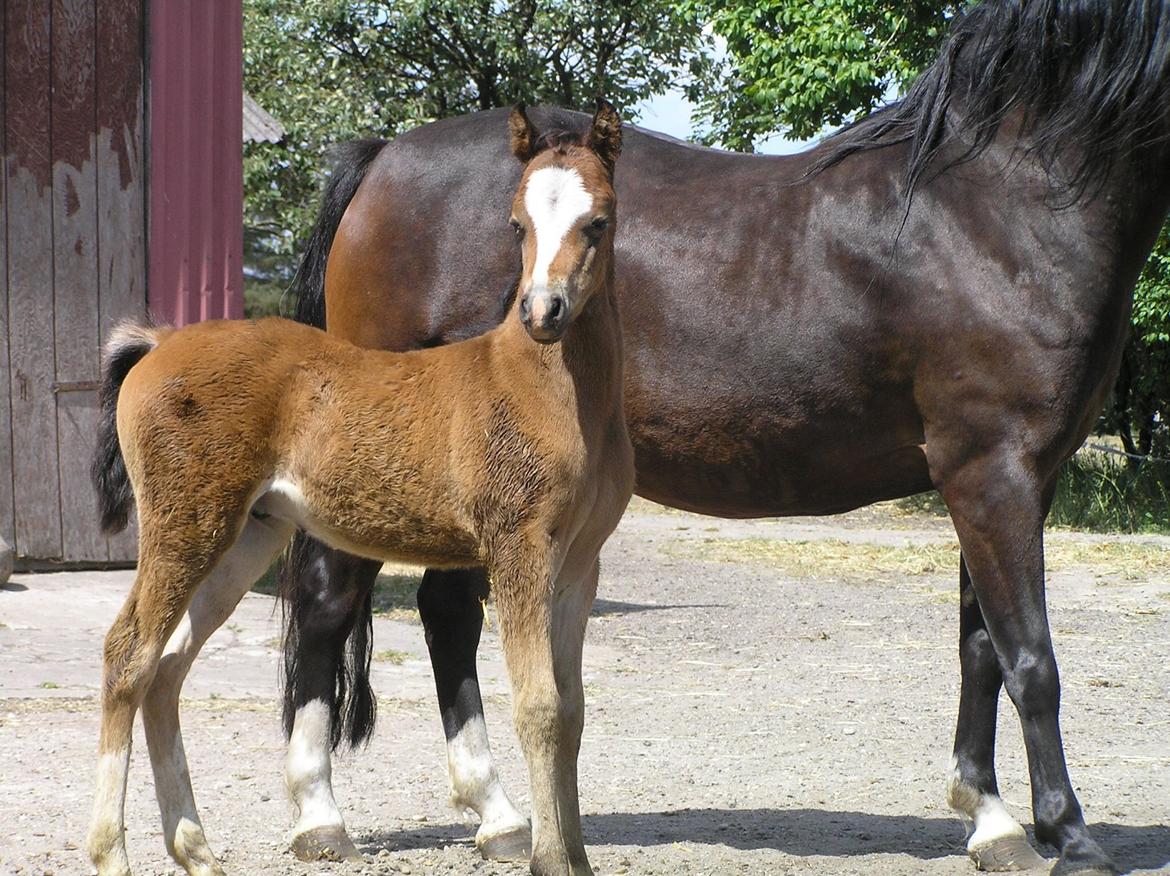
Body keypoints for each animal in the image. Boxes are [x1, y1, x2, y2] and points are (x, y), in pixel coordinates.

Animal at [85, 101, 631, 876]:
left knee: (167, 668)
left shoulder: (581, 563)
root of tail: (158, 344)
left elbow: (574, 708)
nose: (542, 312)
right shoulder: (518, 549)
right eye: (516, 223)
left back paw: (196, 850)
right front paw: (549, 858)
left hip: (246, 535)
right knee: (128, 655)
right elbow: (539, 706)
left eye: (598, 221)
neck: (548, 388)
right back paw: (113, 852)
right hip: (185, 526)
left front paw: (575, 855)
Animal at [275, 2, 1170, 875]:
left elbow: (981, 647)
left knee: (446, 611)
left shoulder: (1011, 478)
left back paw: (498, 818)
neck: (994, 204)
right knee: (328, 601)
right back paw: (321, 817)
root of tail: (383, 159)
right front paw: (1071, 837)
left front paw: (992, 823)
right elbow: (1032, 660)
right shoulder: (992, 473)